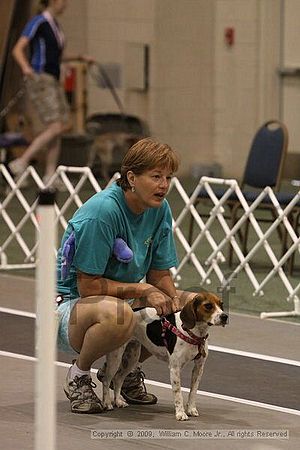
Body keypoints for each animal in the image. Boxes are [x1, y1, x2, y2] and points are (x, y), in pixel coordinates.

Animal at [99, 292, 229, 422]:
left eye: (221, 304)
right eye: (208, 306)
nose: (225, 316)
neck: (194, 332)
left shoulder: (199, 368)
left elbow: (193, 392)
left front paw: (191, 409)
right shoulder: (175, 369)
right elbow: (178, 394)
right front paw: (180, 413)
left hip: (132, 357)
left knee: (118, 378)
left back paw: (118, 401)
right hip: (116, 357)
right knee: (107, 380)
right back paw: (107, 403)